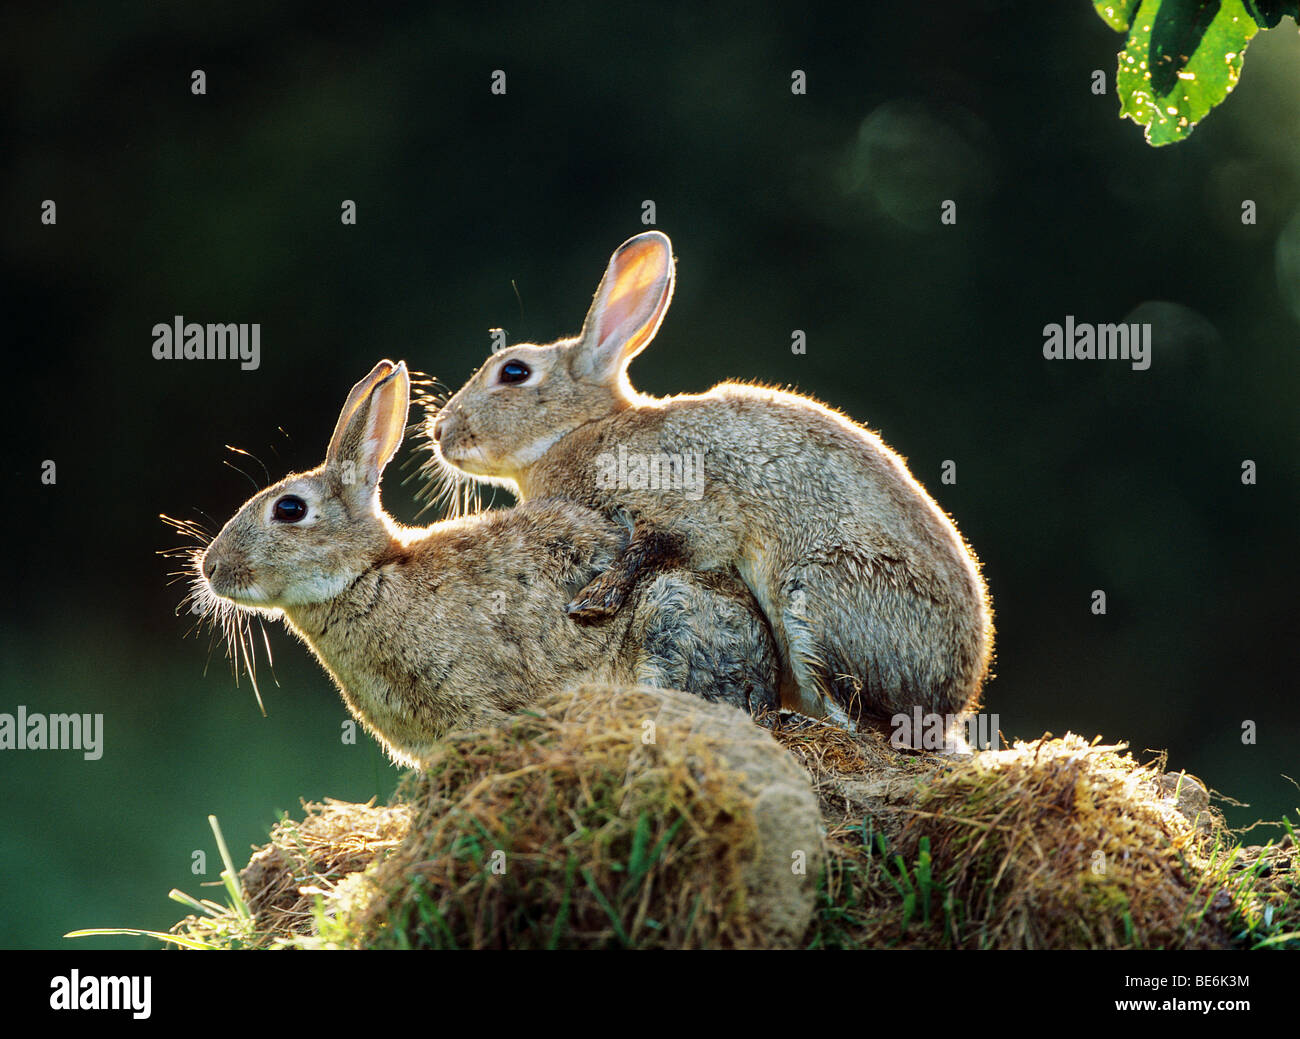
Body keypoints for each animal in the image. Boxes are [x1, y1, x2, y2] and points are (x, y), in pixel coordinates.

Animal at [429, 231, 994, 731]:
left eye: (514, 372)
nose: (440, 431)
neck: (580, 429)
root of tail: (953, 699)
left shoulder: (683, 505)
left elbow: (655, 547)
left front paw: (593, 601)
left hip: (816, 599)